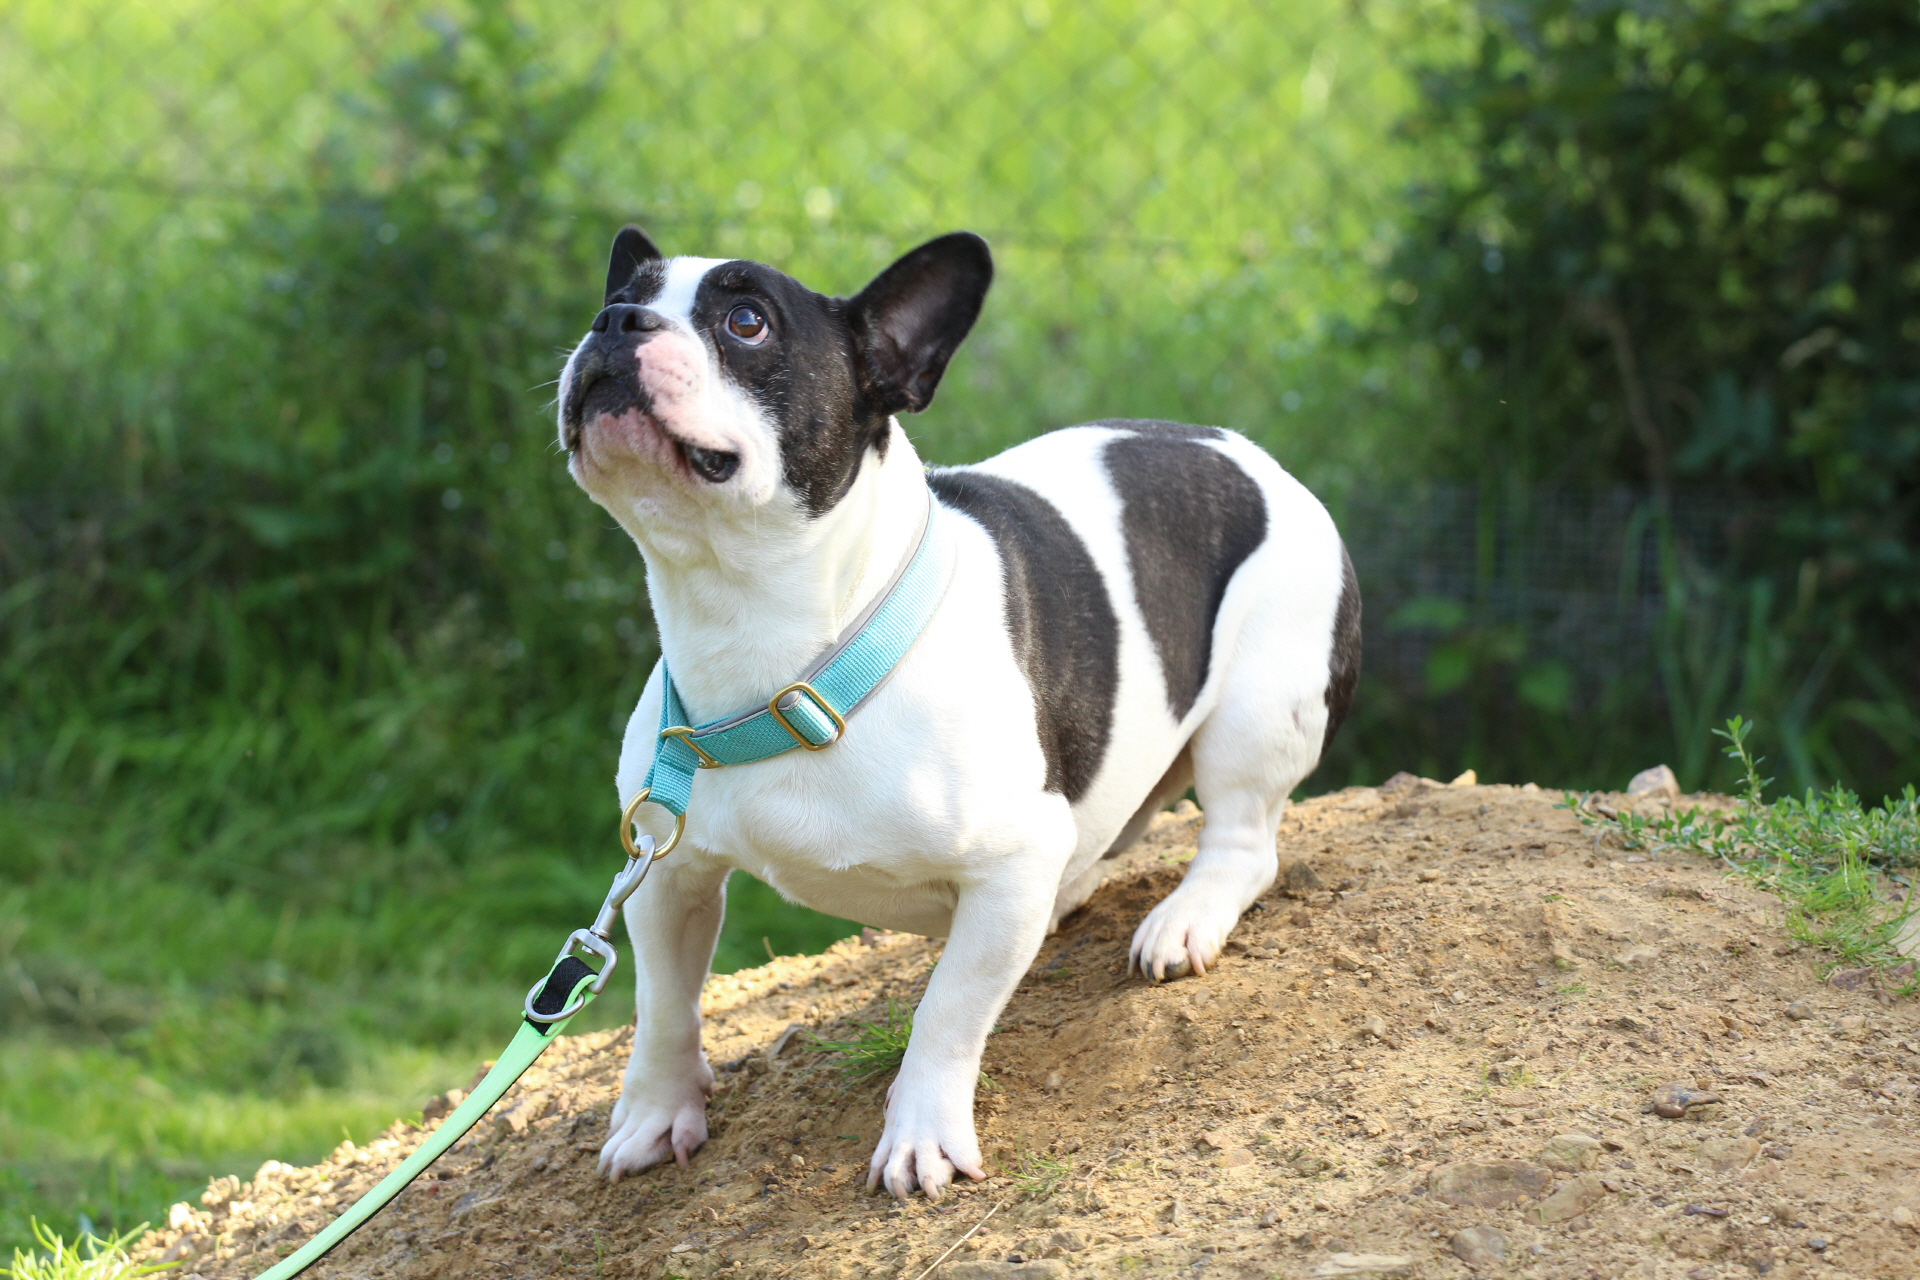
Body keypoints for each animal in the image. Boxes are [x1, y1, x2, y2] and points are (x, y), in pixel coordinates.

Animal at [555, 227, 1360, 1201]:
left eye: (746, 322)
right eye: (618, 297)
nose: (614, 323)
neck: (778, 648)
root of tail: (1256, 456)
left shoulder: (1008, 864)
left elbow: (948, 1011)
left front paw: (922, 1136)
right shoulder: (667, 867)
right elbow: (664, 1003)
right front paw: (656, 1114)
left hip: (1258, 703)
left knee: (1243, 840)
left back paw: (1187, 918)